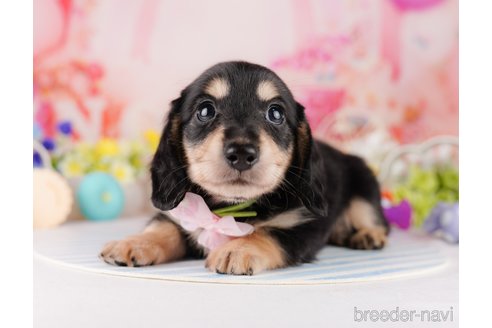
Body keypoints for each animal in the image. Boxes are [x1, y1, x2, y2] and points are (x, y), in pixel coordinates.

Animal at [101, 60, 388, 274]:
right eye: (205, 111)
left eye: (276, 113)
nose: (241, 153)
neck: (231, 208)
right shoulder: (180, 214)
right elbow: (163, 228)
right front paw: (134, 243)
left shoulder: (303, 224)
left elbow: (267, 233)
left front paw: (237, 249)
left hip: (364, 183)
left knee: (375, 218)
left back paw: (366, 235)